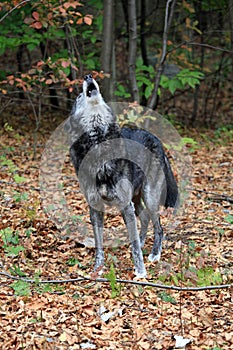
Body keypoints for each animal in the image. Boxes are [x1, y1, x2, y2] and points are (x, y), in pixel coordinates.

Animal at [64, 75, 178, 278]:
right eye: (78, 96)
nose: (88, 76)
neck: (98, 145)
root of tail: (155, 138)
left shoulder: (125, 205)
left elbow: (134, 248)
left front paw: (140, 272)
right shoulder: (96, 207)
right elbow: (99, 244)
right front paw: (98, 268)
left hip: (149, 197)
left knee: (159, 227)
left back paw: (155, 254)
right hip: (136, 199)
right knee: (144, 219)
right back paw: (143, 243)